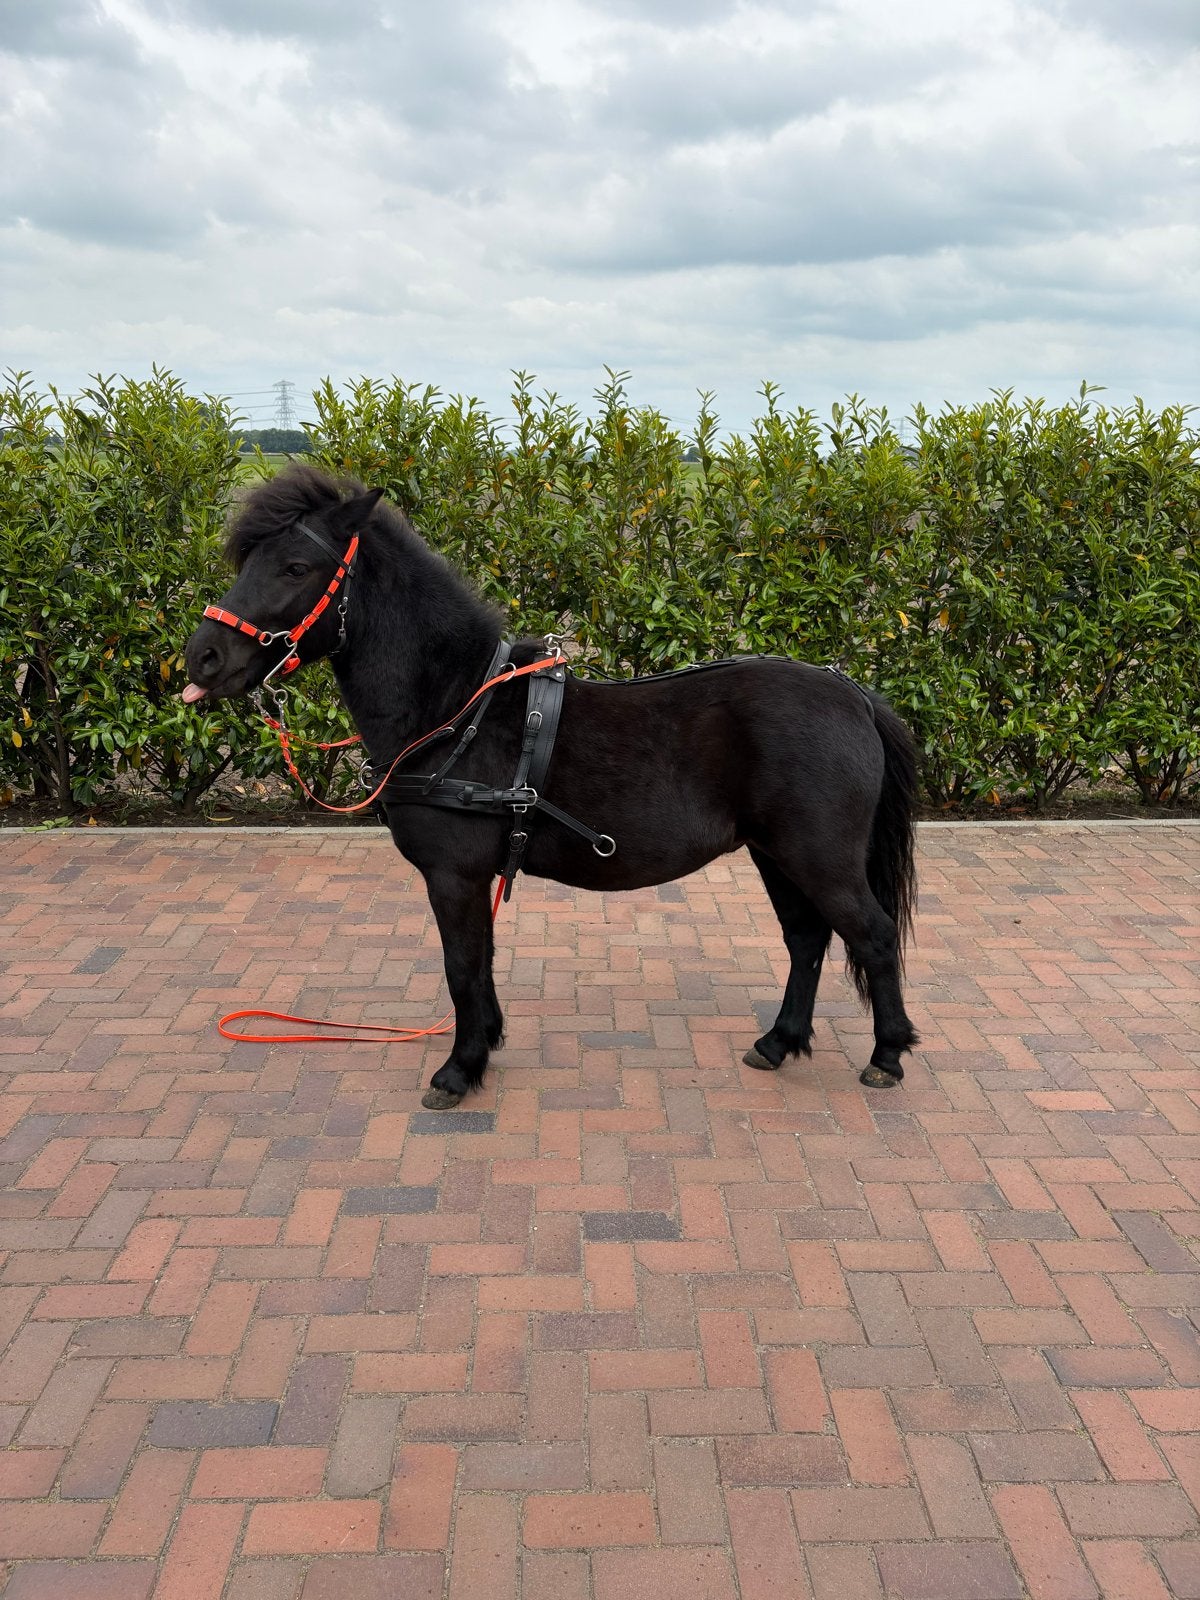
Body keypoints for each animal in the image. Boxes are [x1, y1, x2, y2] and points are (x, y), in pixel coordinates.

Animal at [183, 464, 919, 1109]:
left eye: (295, 567)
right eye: (248, 560)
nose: (202, 658)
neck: (458, 709)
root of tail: (853, 696)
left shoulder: (452, 874)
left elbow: (461, 967)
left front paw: (459, 1069)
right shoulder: (472, 877)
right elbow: (479, 962)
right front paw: (486, 1041)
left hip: (817, 857)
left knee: (872, 935)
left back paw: (886, 1055)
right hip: (776, 854)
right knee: (808, 940)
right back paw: (779, 1041)